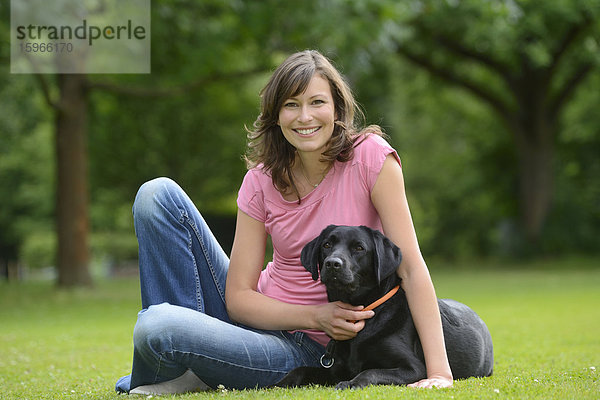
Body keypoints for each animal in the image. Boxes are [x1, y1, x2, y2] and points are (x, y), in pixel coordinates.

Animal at [276, 227, 492, 390]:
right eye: (327, 245)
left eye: (359, 247)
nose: (332, 263)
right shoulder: (335, 369)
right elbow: (301, 369)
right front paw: (279, 383)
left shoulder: (414, 369)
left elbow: (370, 372)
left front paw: (350, 384)